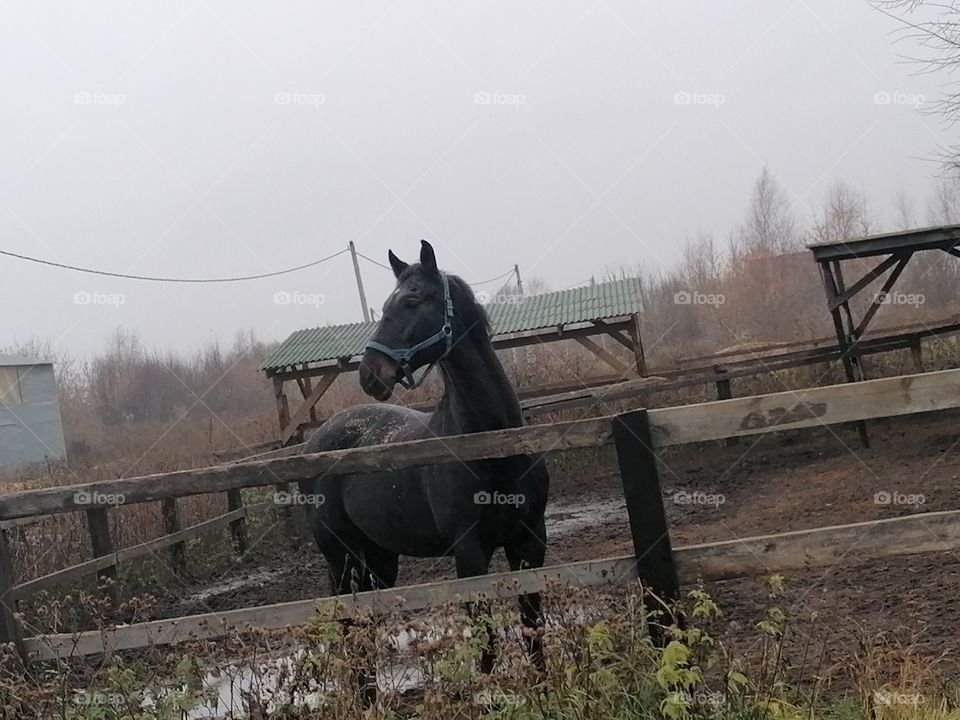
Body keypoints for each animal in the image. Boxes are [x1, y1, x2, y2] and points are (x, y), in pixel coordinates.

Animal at [300, 240, 549, 676]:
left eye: (412, 301)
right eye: (386, 304)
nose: (370, 374)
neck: (492, 446)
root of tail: (319, 440)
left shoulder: (530, 541)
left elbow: (533, 630)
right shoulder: (470, 553)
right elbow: (485, 646)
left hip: (380, 558)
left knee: (366, 629)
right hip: (341, 557)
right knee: (350, 630)